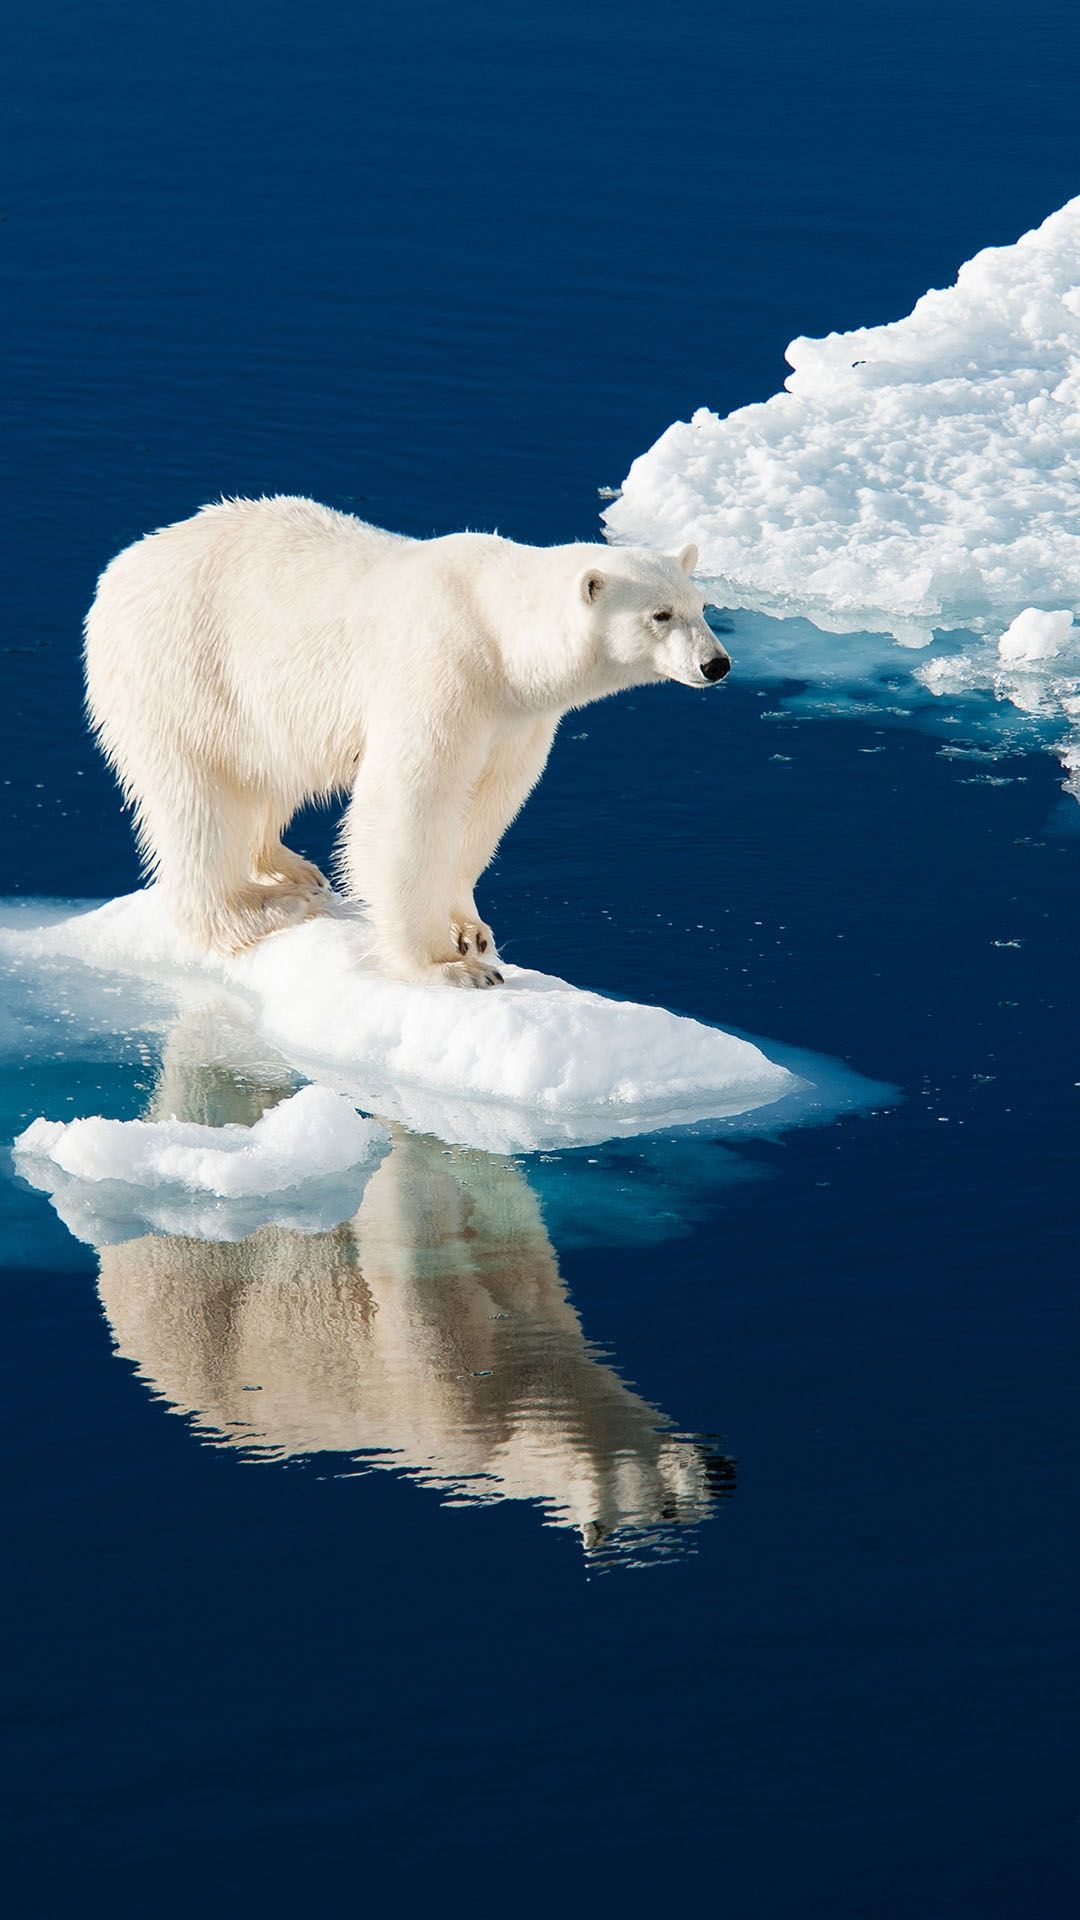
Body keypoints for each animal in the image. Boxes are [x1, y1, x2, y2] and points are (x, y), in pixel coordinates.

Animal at [84, 497, 730, 986]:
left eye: (702, 606)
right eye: (660, 614)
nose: (717, 664)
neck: (499, 638)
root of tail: (122, 566)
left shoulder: (517, 718)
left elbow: (488, 803)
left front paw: (470, 930)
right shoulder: (444, 672)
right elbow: (410, 804)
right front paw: (450, 966)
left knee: (270, 774)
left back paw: (291, 870)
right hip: (183, 668)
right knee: (201, 800)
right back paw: (266, 909)